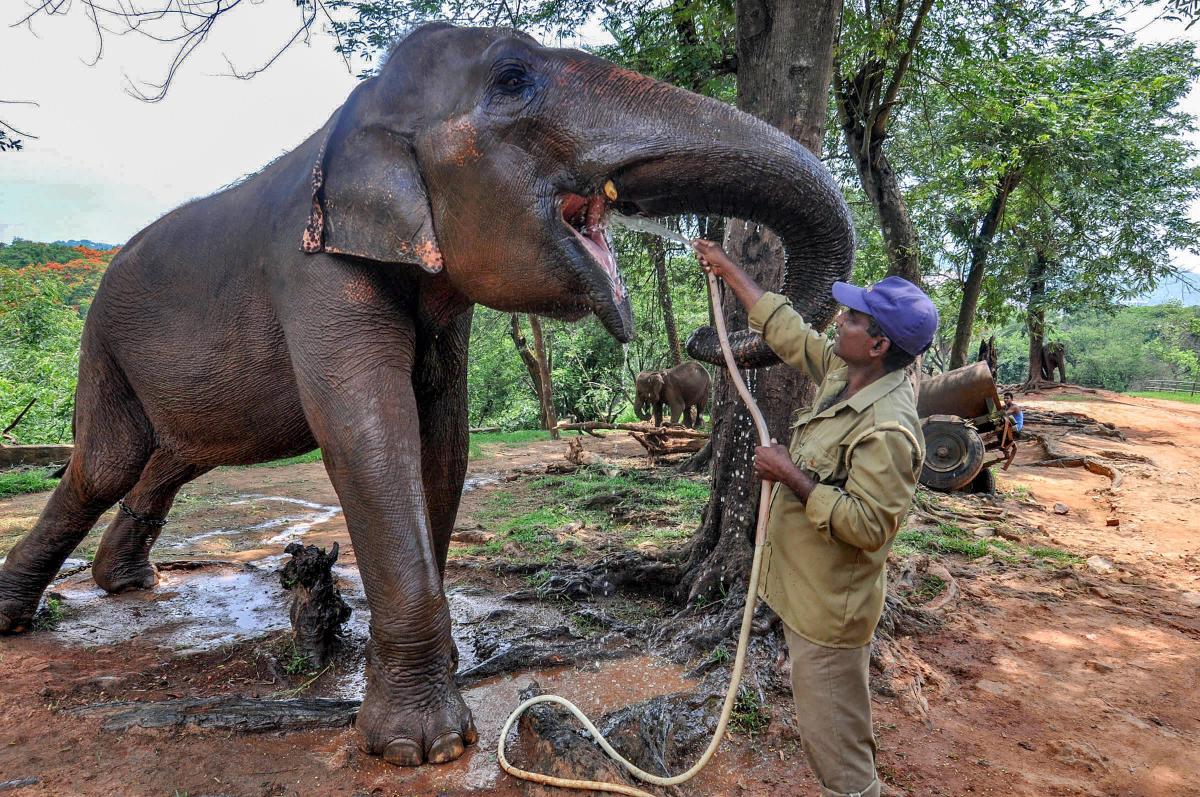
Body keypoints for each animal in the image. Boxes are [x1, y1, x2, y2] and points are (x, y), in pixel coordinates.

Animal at [0, 23, 854, 766]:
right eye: (513, 79)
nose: (712, 316)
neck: (353, 113)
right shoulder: (315, 269)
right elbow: (372, 436)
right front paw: (426, 746)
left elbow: (442, 440)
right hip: (101, 343)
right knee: (109, 460)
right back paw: (18, 613)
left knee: (172, 456)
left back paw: (125, 581)